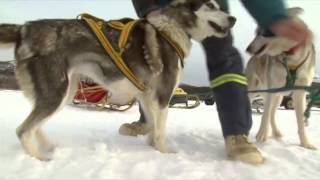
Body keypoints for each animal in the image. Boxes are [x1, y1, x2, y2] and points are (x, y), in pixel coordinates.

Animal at [0, 0, 235, 160]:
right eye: (211, 5)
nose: (233, 19)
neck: (172, 30)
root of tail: (25, 28)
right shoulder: (162, 96)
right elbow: (160, 130)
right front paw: (165, 152)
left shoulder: (147, 97)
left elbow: (152, 126)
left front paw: (152, 147)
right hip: (57, 92)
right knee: (23, 130)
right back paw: (40, 158)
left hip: (65, 92)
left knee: (35, 126)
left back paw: (49, 147)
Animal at [245, 7, 316, 149]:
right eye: (256, 33)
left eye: (264, 33)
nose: (248, 49)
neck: (291, 57)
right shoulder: (272, 88)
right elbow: (265, 115)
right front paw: (261, 135)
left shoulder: (300, 91)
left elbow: (301, 121)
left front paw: (305, 143)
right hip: (254, 91)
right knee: (263, 110)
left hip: (278, 97)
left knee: (272, 114)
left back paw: (276, 132)